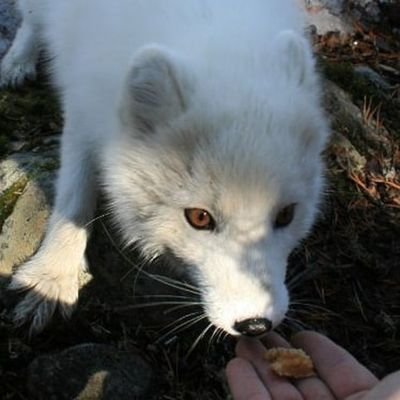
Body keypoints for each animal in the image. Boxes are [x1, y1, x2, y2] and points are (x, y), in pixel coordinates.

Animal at [1, 0, 328, 338]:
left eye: (286, 215)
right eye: (199, 218)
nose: (255, 324)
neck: (210, 29)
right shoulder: (83, 107)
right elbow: (74, 201)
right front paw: (51, 278)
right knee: (31, 20)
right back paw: (17, 62)